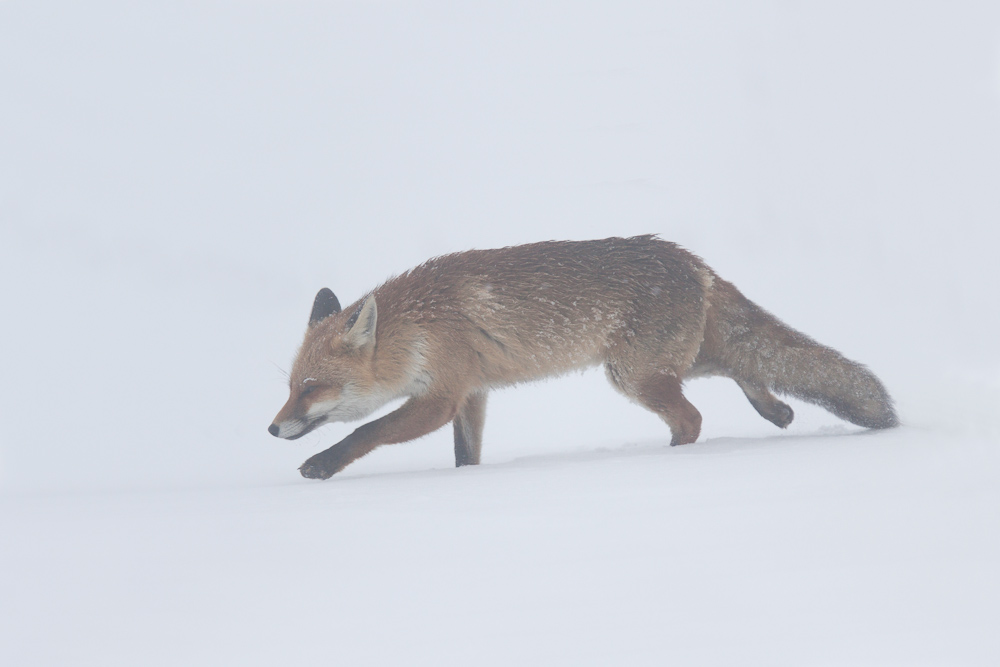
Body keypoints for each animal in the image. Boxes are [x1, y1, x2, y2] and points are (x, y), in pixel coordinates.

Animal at [268, 236, 900, 480]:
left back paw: (676, 459)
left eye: (312, 387)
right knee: (742, 367)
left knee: (693, 417)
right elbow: (466, 457)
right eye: (290, 385)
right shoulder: (472, 393)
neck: (420, 327)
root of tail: (691, 259)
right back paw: (775, 411)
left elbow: (365, 432)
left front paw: (321, 465)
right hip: (669, 362)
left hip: (634, 375)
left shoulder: (440, 395)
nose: (272, 429)